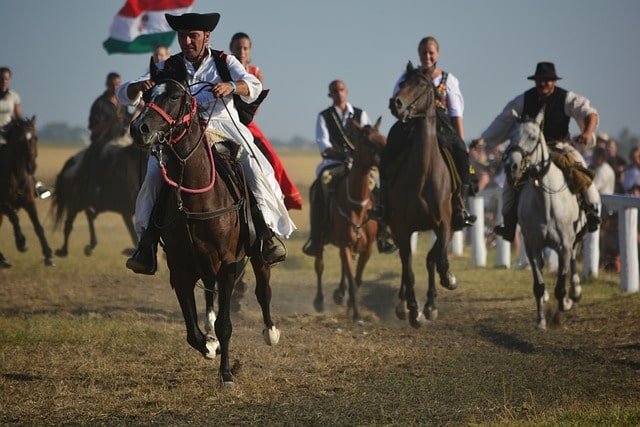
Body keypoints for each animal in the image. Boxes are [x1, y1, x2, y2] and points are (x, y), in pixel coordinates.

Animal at [0, 115, 54, 266]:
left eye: (36, 137)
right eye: (19, 139)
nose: (31, 166)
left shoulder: (29, 202)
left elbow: (38, 227)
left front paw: (48, 255)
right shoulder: (3, 204)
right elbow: (14, 217)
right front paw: (21, 243)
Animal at [312, 118, 382, 324]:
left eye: (382, 136)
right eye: (367, 141)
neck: (357, 206)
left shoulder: (366, 248)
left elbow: (357, 279)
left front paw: (351, 305)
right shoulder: (345, 244)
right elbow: (351, 279)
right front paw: (357, 315)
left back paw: (340, 294)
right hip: (320, 238)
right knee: (319, 265)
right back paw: (320, 301)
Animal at [388, 63, 458, 330]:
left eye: (421, 84)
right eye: (402, 82)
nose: (395, 103)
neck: (423, 174)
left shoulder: (445, 223)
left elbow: (436, 258)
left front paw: (446, 281)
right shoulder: (401, 228)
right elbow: (408, 268)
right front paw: (413, 310)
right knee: (405, 263)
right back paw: (403, 306)